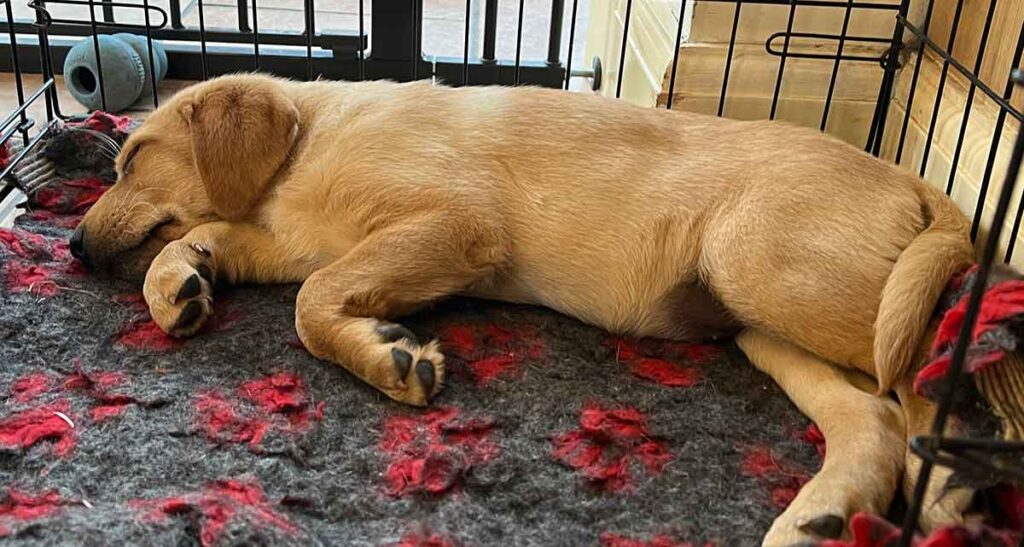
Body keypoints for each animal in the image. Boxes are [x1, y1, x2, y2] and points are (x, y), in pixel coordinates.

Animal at [72, 73, 974, 547]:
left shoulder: (455, 222)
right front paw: (178, 283)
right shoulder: (294, 238)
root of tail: (918, 183)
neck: (307, 146)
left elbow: (310, 299)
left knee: (935, 357)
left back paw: (954, 490)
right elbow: (235, 248)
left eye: (132, 154)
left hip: (771, 267)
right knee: (875, 417)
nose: (73, 247)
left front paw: (393, 358)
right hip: (764, 323)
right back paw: (825, 514)